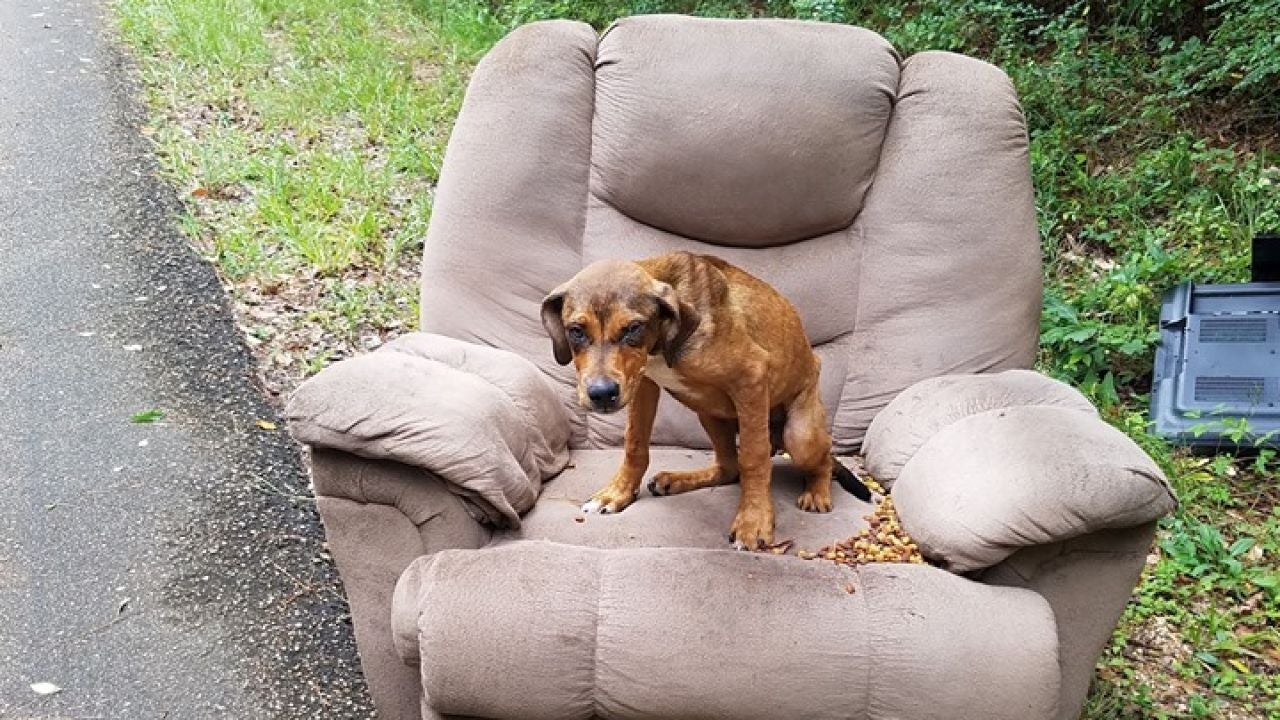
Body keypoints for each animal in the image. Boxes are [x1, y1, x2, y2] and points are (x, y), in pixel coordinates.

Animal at [540, 249, 870, 545]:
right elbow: (635, 444)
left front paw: (753, 521)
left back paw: (817, 492)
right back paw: (675, 480)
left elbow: (754, 457)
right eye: (576, 331)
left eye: (633, 328)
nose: (602, 394)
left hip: (800, 435)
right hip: (708, 413)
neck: (663, 342)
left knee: (821, 460)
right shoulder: (643, 383)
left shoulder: (751, 377)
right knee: (728, 467)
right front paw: (617, 493)